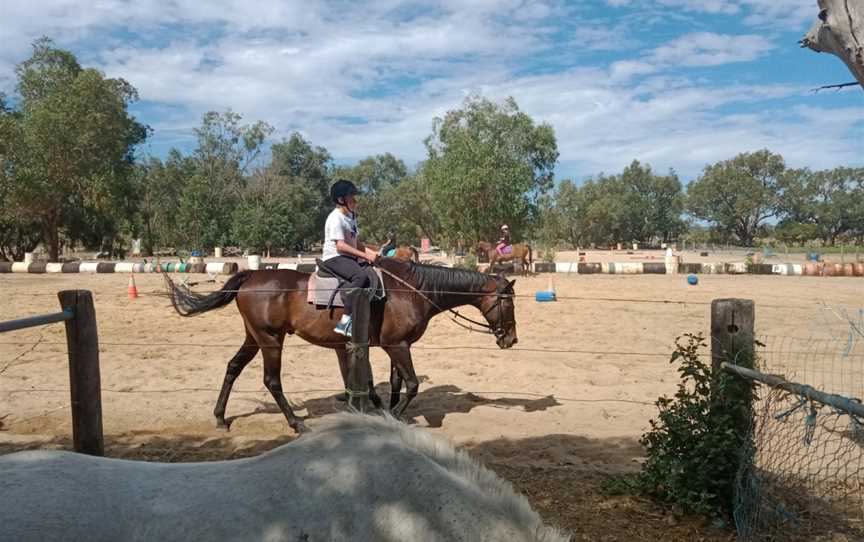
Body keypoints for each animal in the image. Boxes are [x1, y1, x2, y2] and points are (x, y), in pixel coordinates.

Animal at [163, 260, 516, 434]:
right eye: (509, 303)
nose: (511, 339)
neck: (412, 291)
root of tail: (249, 276)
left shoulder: (391, 346)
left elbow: (394, 383)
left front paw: (384, 408)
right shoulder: (397, 345)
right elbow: (412, 384)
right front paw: (393, 415)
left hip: (254, 337)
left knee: (233, 367)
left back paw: (221, 417)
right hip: (271, 340)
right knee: (271, 380)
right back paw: (296, 422)